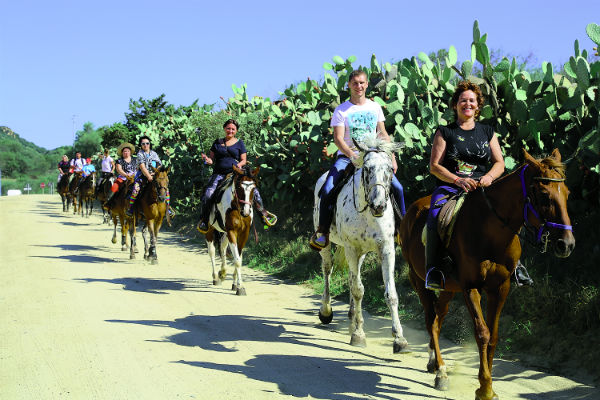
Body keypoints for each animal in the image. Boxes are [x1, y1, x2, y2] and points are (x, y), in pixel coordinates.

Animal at [200, 164, 258, 296]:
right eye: (239, 187)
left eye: (253, 188)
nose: (246, 212)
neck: (235, 207)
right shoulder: (232, 231)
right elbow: (236, 260)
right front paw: (241, 287)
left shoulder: (244, 233)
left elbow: (239, 257)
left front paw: (235, 284)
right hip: (210, 230)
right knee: (212, 251)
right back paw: (216, 277)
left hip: (225, 233)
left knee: (222, 247)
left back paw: (223, 272)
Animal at [314, 138, 408, 354]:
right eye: (366, 169)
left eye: (389, 169)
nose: (379, 205)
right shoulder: (351, 248)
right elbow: (358, 290)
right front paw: (358, 335)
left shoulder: (386, 249)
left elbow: (391, 294)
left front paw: (399, 339)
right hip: (327, 243)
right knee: (327, 269)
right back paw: (326, 311)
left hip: (361, 254)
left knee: (350, 276)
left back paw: (351, 318)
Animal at [400, 149, 576, 400]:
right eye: (544, 195)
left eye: (567, 193)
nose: (566, 244)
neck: (490, 231)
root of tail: (412, 210)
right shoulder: (470, 286)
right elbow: (482, 333)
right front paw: (484, 388)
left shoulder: (500, 288)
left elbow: (493, 336)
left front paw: (490, 387)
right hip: (419, 280)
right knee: (430, 319)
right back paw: (441, 371)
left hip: (448, 288)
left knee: (437, 320)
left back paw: (436, 365)